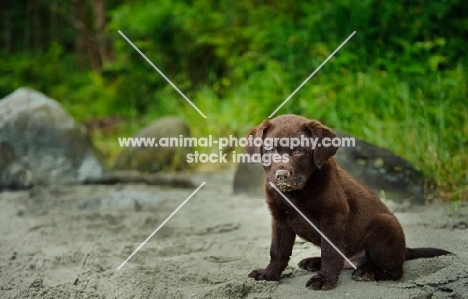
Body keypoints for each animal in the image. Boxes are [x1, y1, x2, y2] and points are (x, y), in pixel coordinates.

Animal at [247, 115, 452, 290]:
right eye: (270, 150)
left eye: (299, 151)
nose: (281, 175)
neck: (295, 193)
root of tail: (404, 251)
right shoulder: (280, 220)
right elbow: (278, 250)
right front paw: (269, 274)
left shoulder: (334, 216)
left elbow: (330, 251)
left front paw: (324, 279)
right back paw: (313, 261)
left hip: (384, 227)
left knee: (394, 270)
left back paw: (368, 272)